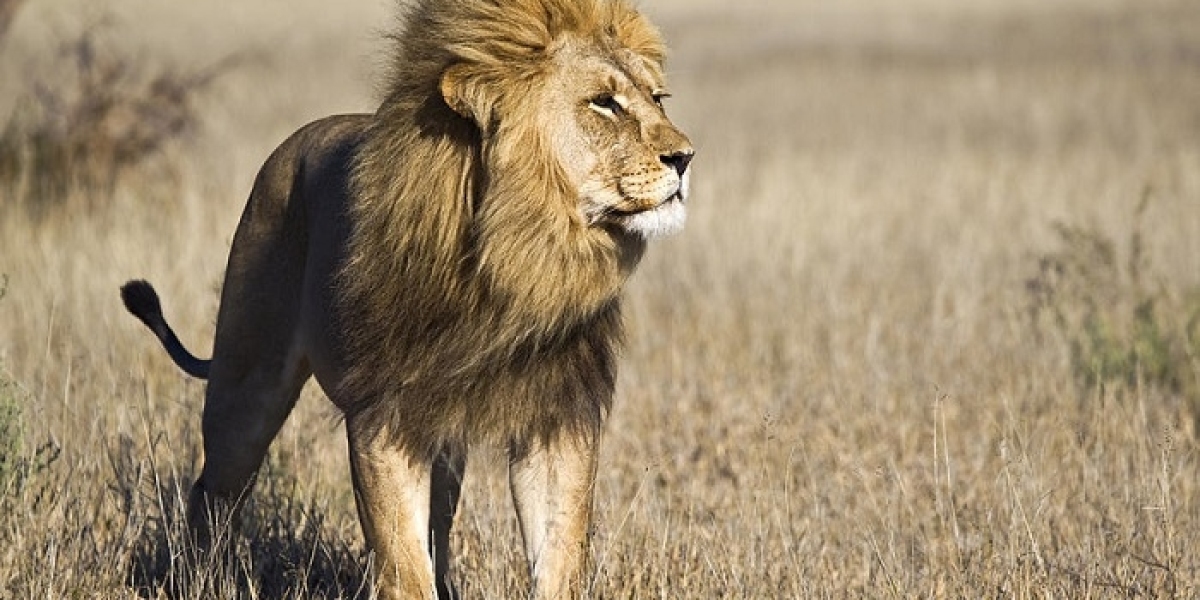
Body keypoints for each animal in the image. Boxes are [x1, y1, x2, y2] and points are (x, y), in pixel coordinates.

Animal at [120, 0, 692, 598]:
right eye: (603, 103)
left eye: (657, 98)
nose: (686, 158)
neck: (512, 261)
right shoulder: (382, 418)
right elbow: (402, 561)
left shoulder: (556, 417)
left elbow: (559, 558)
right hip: (246, 384)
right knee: (213, 491)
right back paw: (198, 579)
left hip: (440, 440)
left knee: (438, 526)